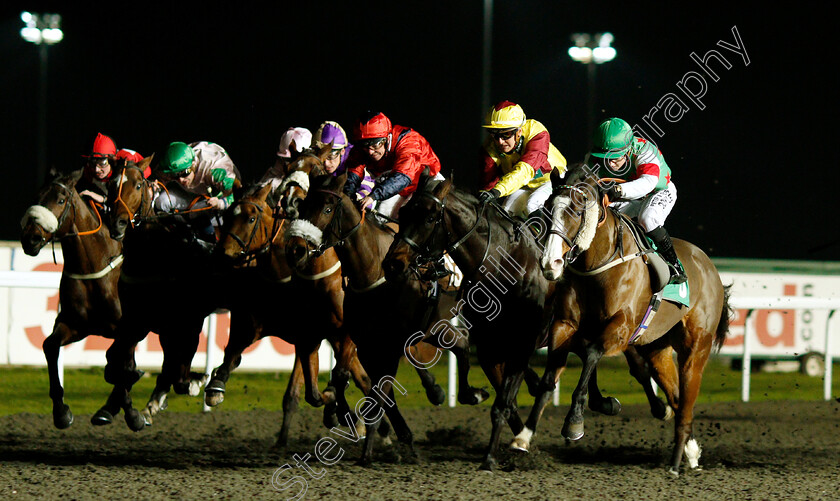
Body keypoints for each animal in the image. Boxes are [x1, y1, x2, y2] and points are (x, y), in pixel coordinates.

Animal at [19, 170, 123, 428]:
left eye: (60, 200)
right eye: (36, 197)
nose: (30, 238)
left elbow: (119, 361)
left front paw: (118, 409)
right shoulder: (76, 324)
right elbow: (49, 345)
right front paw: (61, 411)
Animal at [284, 171, 486, 464]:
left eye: (327, 209)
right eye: (303, 206)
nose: (296, 249)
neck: (372, 271)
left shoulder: (390, 339)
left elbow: (355, 381)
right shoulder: (360, 340)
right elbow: (358, 387)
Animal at [380, 171, 676, 468]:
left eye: (430, 217)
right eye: (403, 212)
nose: (393, 263)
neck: (503, 265)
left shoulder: (522, 345)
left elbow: (504, 402)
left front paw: (493, 456)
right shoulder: (489, 348)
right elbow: (505, 402)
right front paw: (507, 443)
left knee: (634, 365)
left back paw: (656, 408)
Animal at [540, 163, 728, 472]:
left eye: (577, 211)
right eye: (547, 207)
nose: (549, 263)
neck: (599, 265)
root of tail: (709, 265)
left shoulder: (621, 328)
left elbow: (591, 353)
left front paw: (574, 422)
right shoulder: (565, 324)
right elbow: (562, 359)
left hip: (696, 346)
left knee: (687, 400)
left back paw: (677, 461)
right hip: (657, 348)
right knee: (677, 398)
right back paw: (689, 450)